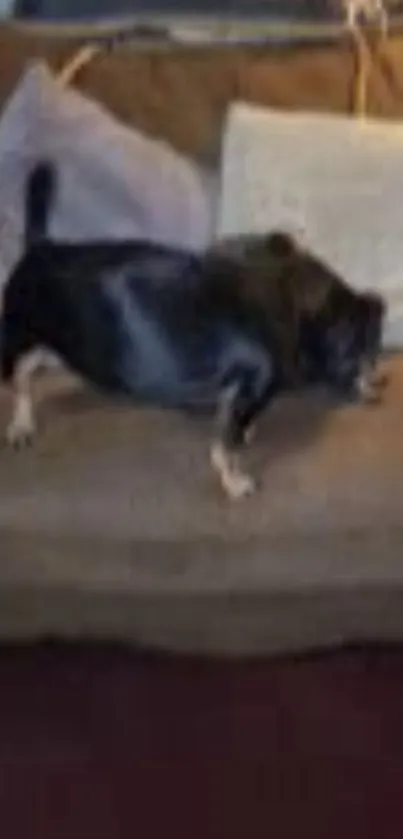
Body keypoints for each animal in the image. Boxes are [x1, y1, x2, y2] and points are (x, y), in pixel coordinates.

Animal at [0, 162, 388, 498]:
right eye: (370, 351)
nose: (383, 384)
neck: (296, 306)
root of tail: (40, 246)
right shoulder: (252, 385)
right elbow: (225, 447)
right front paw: (236, 482)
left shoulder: (238, 395)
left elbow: (234, 428)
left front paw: (247, 433)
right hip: (18, 339)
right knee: (19, 381)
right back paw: (20, 425)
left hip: (50, 344)